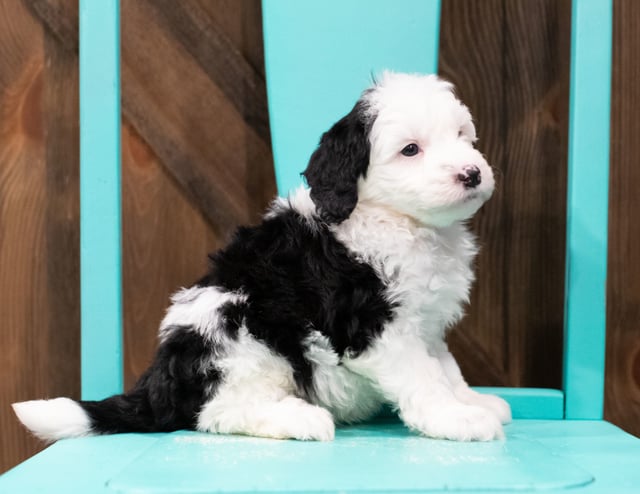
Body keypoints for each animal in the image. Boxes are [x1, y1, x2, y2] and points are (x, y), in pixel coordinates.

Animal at [13, 72, 510, 444]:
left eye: (462, 137)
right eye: (410, 150)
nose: (471, 173)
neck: (394, 218)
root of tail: (159, 383)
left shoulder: (426, 325)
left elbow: (444, 367)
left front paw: (472, 401)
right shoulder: (372, 324)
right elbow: (422, 376)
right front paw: (456, 419)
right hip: (239, 326)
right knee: (216, 412)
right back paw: (299, 419)